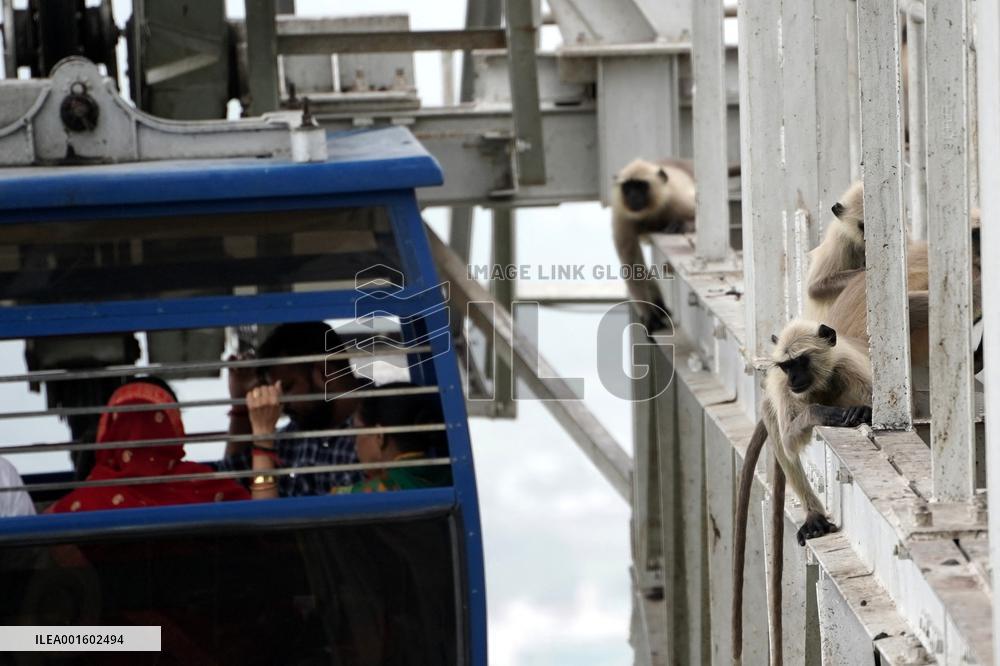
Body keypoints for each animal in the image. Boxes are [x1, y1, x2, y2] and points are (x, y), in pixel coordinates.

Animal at [732, 320, 873, 665]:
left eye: (801, 362)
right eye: (786, 366)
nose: (794, 379)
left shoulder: (849, 370)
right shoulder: (783, 388)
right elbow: (788, 438)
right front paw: (822, 413)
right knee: (774, 421)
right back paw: (814, 517)